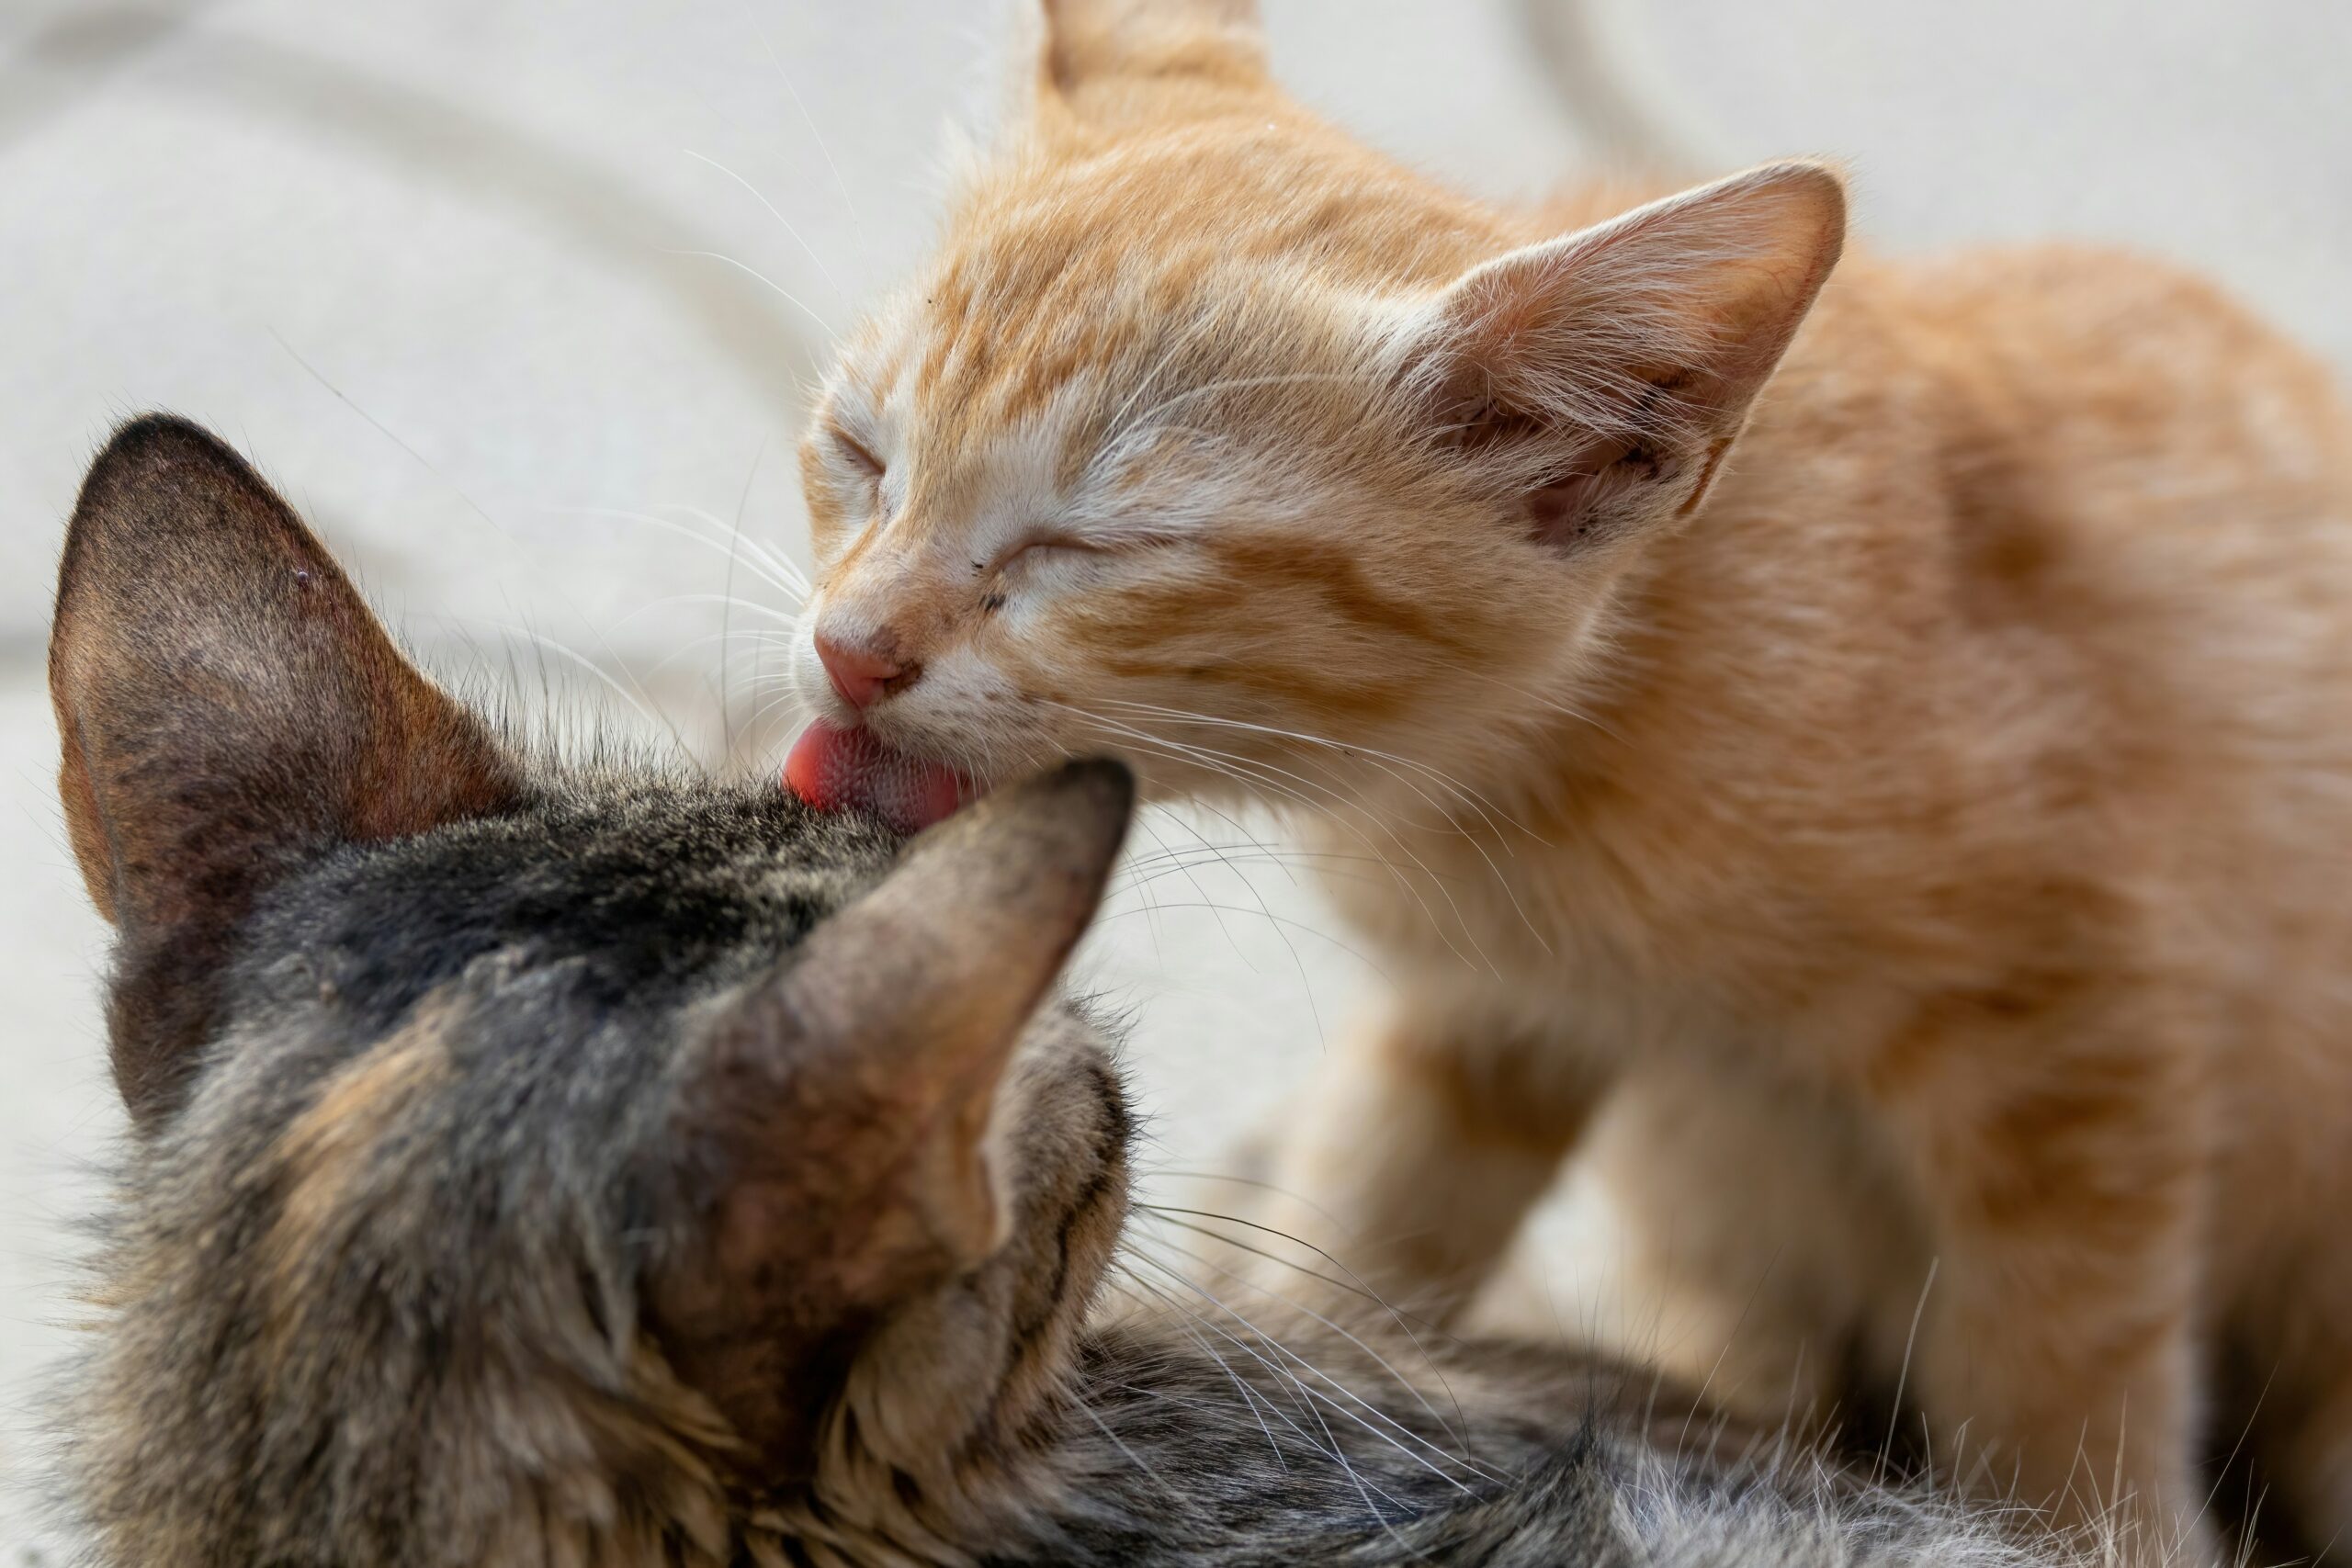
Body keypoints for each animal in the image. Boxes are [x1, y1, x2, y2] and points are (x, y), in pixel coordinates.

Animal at [780, 0, 2352, 1561]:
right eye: (860, 454)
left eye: (1086, 549)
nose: (848, 649)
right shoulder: (1485, 1011)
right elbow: (1374, 1217)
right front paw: (1302, 1361)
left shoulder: (2085, 1028)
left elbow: (2063, 1361)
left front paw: (2082, 1521)